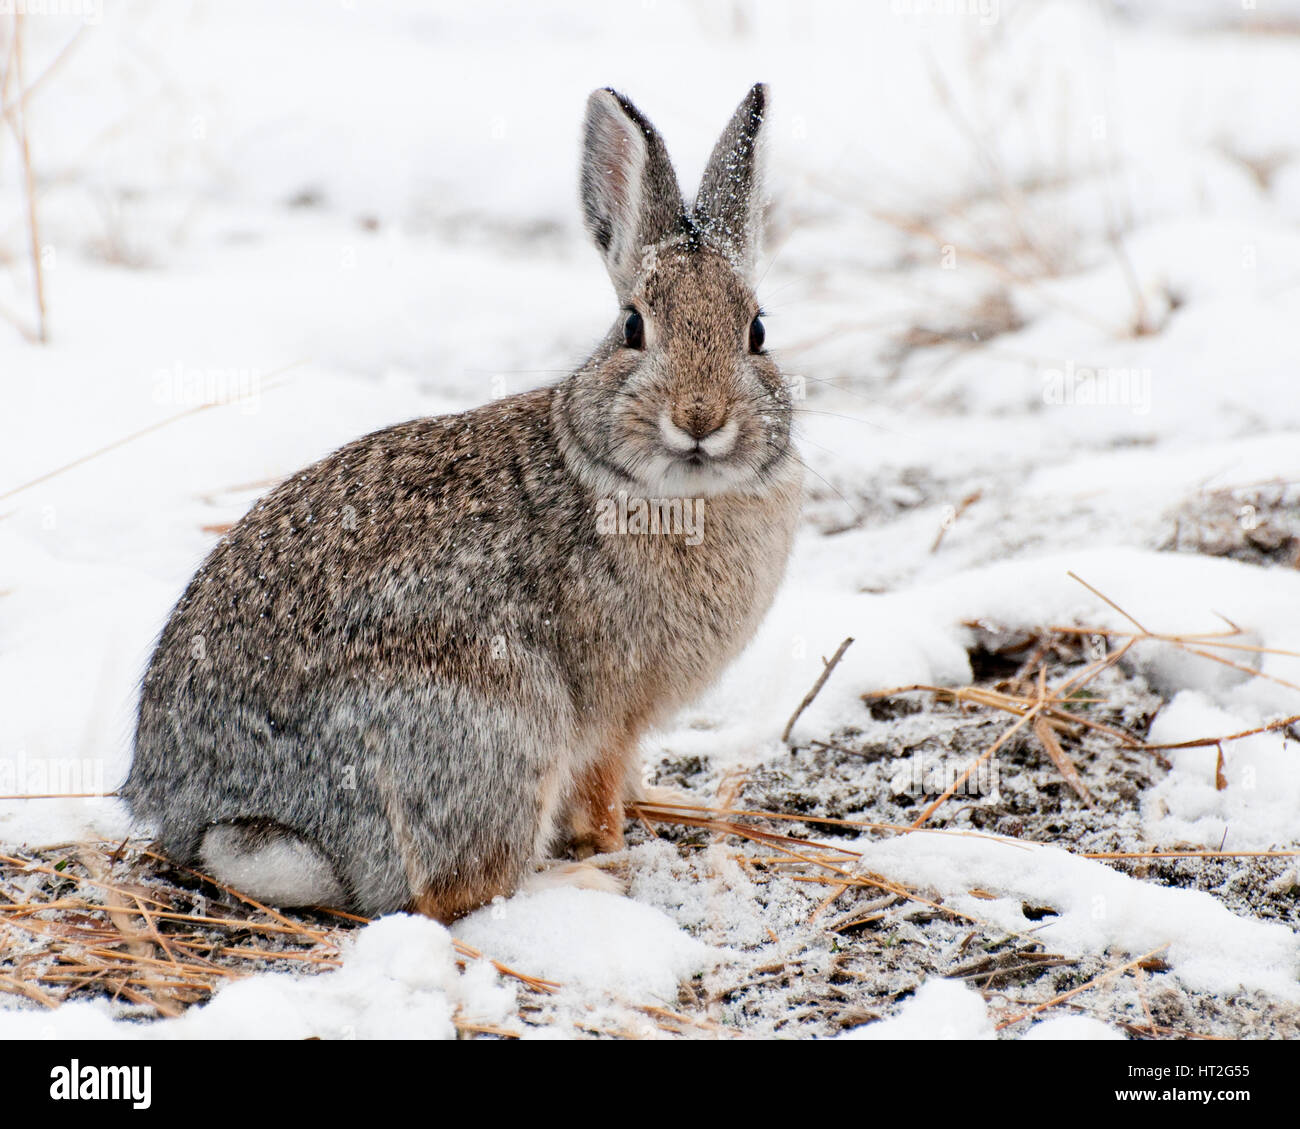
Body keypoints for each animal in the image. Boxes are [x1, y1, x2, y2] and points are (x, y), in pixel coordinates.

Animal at [126, 83, 806, 920]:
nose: (702, 419)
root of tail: (221, 814)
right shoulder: (608, 718)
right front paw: (614, 846)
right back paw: (580, 883)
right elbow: (599, 794)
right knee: (457, 892)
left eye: (758, 331)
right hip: (493, 726)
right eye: (633, 327)